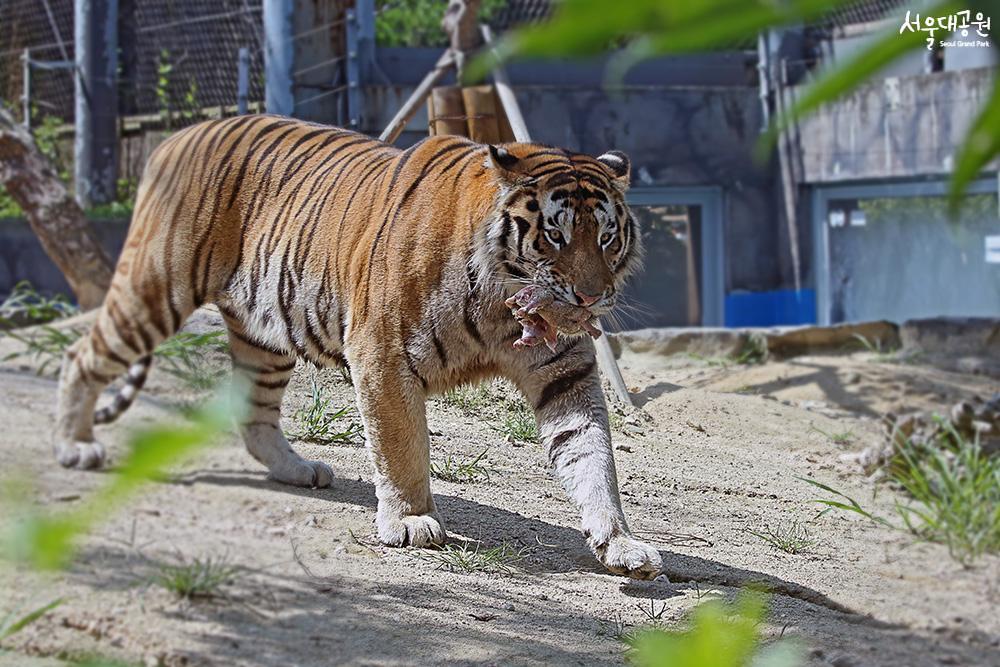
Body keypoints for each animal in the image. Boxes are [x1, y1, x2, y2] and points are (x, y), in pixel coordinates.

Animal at [56, 115, 664, 580]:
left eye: (607, 237)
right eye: (555, 235)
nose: (591, 296)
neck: (501, 308)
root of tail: (177, 135)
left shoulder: (565, 373)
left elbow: (593, 457)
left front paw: (620, 543)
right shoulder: (382, 354)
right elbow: (401, 448)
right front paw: (411, 520)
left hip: (263, 334)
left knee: (254, 414)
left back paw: (297, 469)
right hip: (155, 287)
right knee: (83, 355)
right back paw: (75, 446)